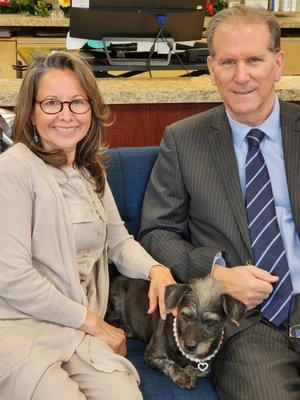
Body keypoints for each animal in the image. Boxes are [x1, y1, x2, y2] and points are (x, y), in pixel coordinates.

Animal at [106, 274, 245, 390]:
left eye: (211, 322)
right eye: (185, 315)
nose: (189, 346)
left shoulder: (207, 364)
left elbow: (204, 370)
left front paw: (189, 371)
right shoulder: (152, 355)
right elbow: (169, 362)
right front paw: (183, 375)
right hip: (115, 300)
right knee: (111, 319)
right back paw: (127, 330)